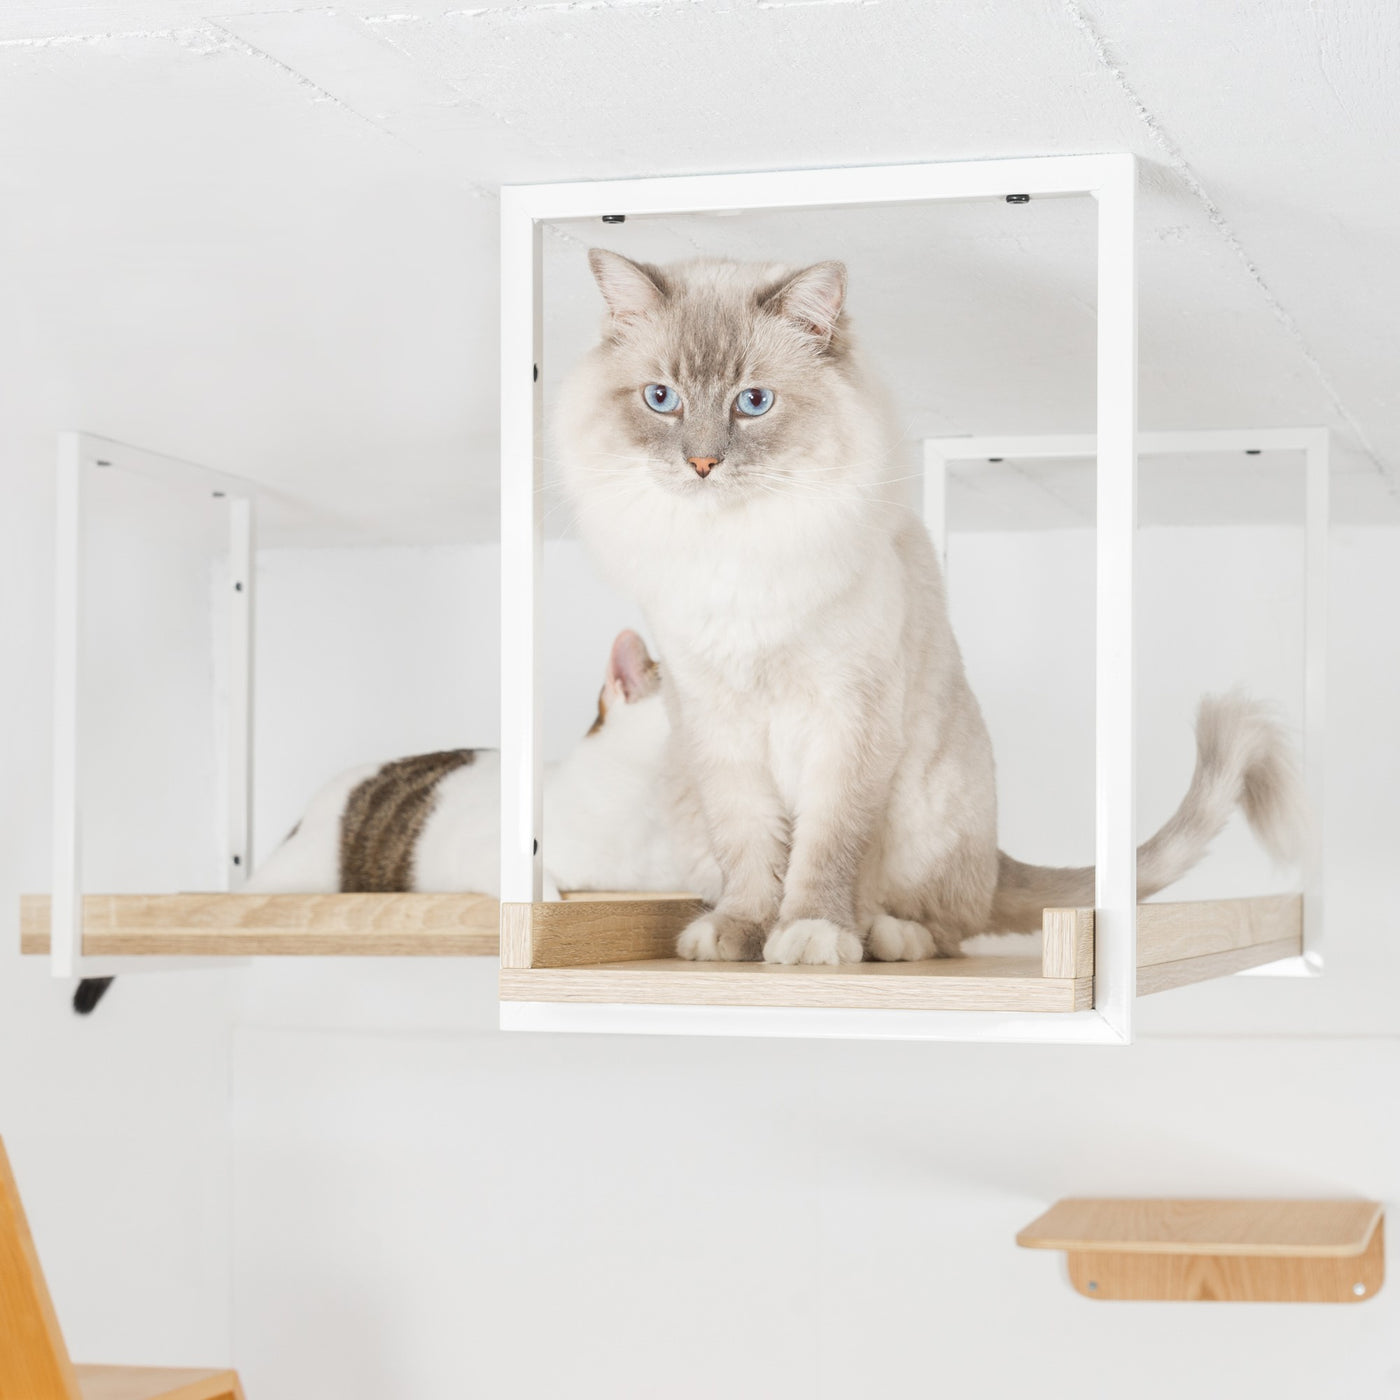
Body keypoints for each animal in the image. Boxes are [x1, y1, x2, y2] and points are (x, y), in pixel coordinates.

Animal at [557, 249, 1303, 965]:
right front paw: (741, 933)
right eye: (661, 399)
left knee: (949, 928)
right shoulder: (719, 729)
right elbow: (752, 850)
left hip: (927, 806)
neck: (735, 551)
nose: (703, 464)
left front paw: (809, 935)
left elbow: (823, 850)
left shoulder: (848, 721)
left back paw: (884, 938)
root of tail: (997, 857)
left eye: (754, 401)